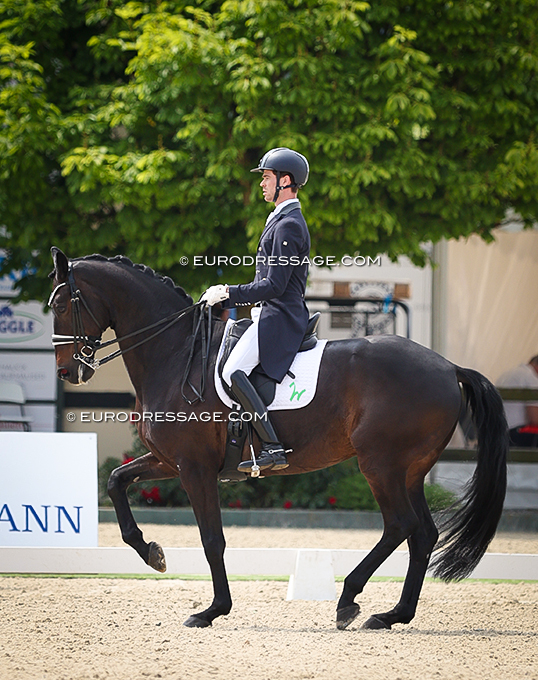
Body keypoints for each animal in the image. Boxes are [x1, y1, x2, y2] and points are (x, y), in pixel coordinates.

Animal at [48, 250, 504, 632]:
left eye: (61, 306)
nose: (68, 372)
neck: (175, 354)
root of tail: (448, 367)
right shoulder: (167, 461)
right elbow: (115, 482)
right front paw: (152, 553)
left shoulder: (195, 468)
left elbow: (212, 539)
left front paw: (212, 610)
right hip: (409, 471)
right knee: (422, 534)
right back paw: (393, 615)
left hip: (380, 465)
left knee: (400, 525)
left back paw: (349, 599)